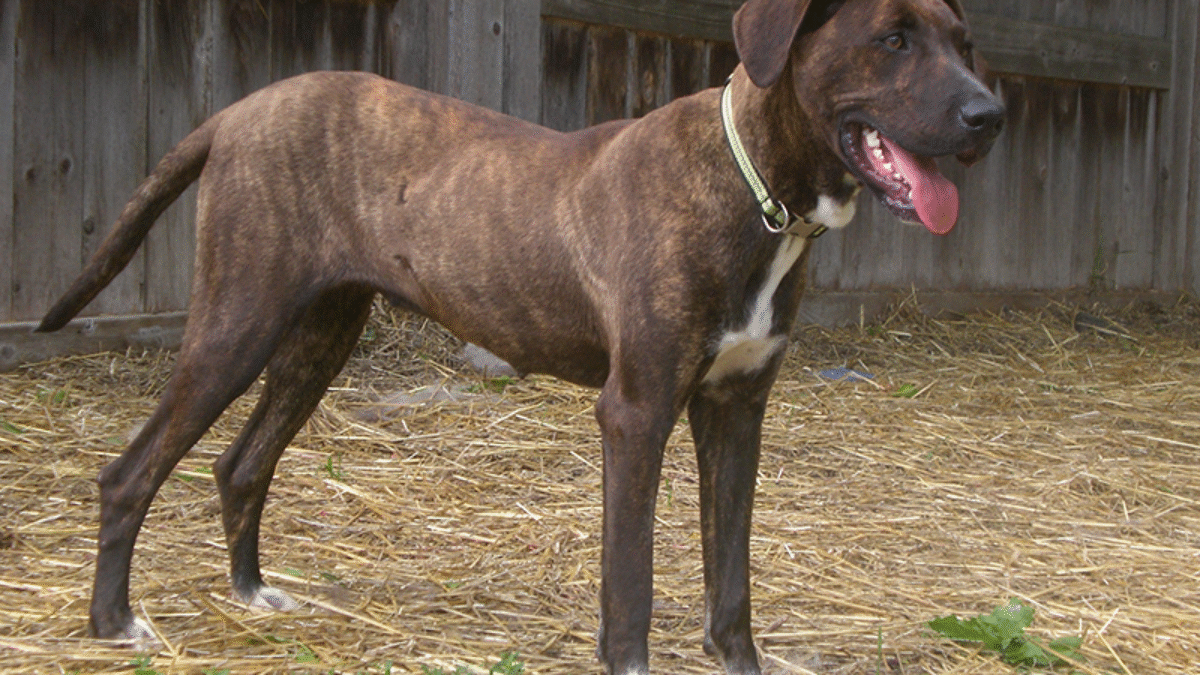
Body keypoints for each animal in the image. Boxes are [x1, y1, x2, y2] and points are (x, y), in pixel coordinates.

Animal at [39, 0, 1003, 667]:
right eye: (893, 39)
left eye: (964, 41)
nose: (990, 116)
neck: (757, 191)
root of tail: (238, 111)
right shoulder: (636, 412)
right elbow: (631, 587)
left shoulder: (737, 409)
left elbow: (730, 584)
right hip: (236, 324)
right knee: (130, 471)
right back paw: (113, 622)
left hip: (319, 334)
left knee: (241, 464)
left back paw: (253, 594)